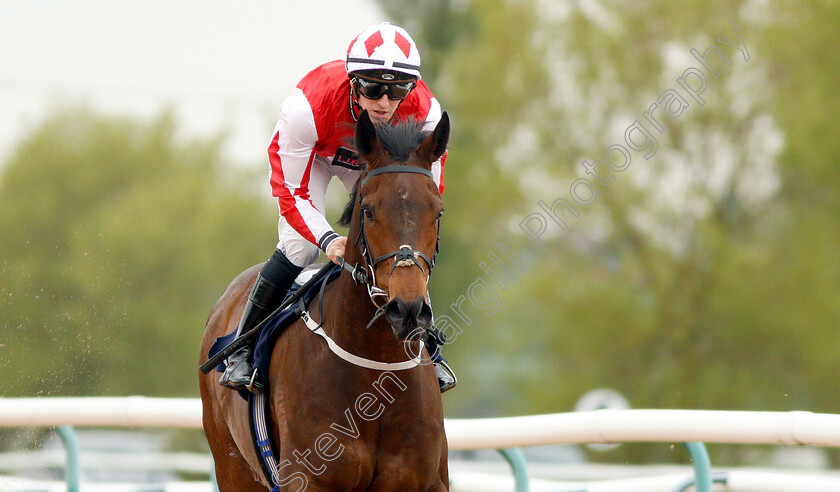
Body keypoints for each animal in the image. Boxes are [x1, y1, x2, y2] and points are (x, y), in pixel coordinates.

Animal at [199, 111, 452, 492]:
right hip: (232, 468)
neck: (377, 372)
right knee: (295, 247)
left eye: (437, 212)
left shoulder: (426, 482)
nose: (407, 309)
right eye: (368, 210)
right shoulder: (307, 479)